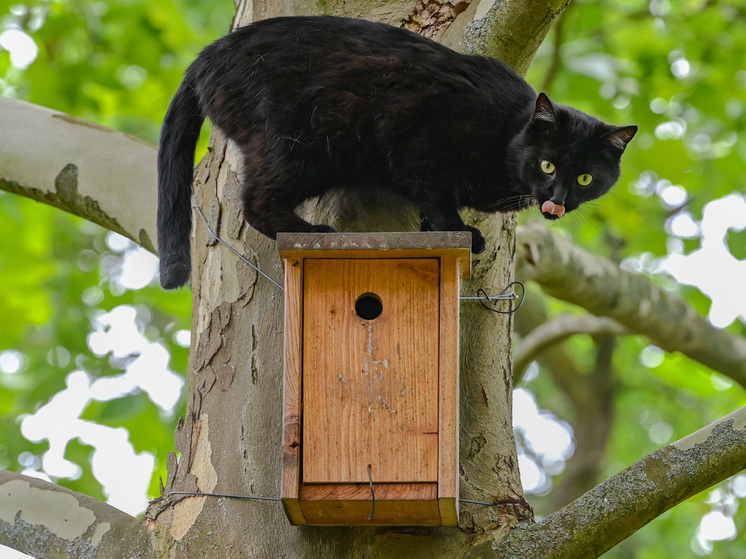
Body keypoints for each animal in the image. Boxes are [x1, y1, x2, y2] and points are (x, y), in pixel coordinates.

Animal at [157, 16, 632, 288]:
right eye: (547, 164)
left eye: (586, 178)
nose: (558, 198)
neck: (506, 134)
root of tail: (203, 58)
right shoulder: (423, 145)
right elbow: (437, 197)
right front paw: (459, 232)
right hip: (301, 146)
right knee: (256, 200)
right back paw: (311, 230)